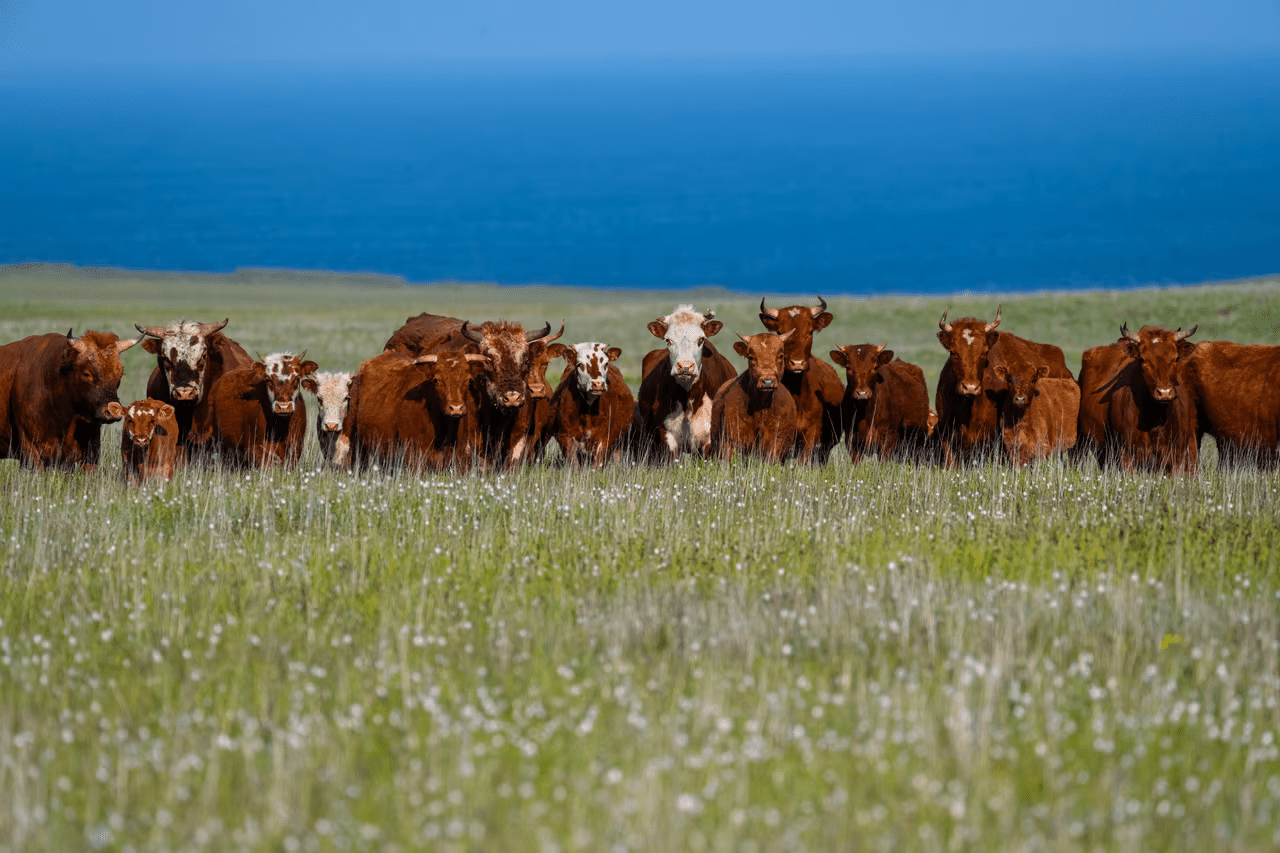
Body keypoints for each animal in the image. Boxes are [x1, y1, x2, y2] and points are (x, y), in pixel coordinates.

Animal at [636, 305, 737, 461]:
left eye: (701, 339)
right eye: (668, 340)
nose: (685, 366)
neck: (688, 397)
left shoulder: (708, 441)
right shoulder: (667, 437)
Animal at [710, 331, 798, 462]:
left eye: (781, 355)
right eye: (751, 357)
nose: (767, 381)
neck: (760, 408)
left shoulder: (777, 443)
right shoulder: (730, 441)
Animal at [1076, 324, 1199, 475]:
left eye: (1176, 358)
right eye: (1142, 359)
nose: (1164, 392)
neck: (1155, 419)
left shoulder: (1176, 455)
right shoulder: (1127, 453)